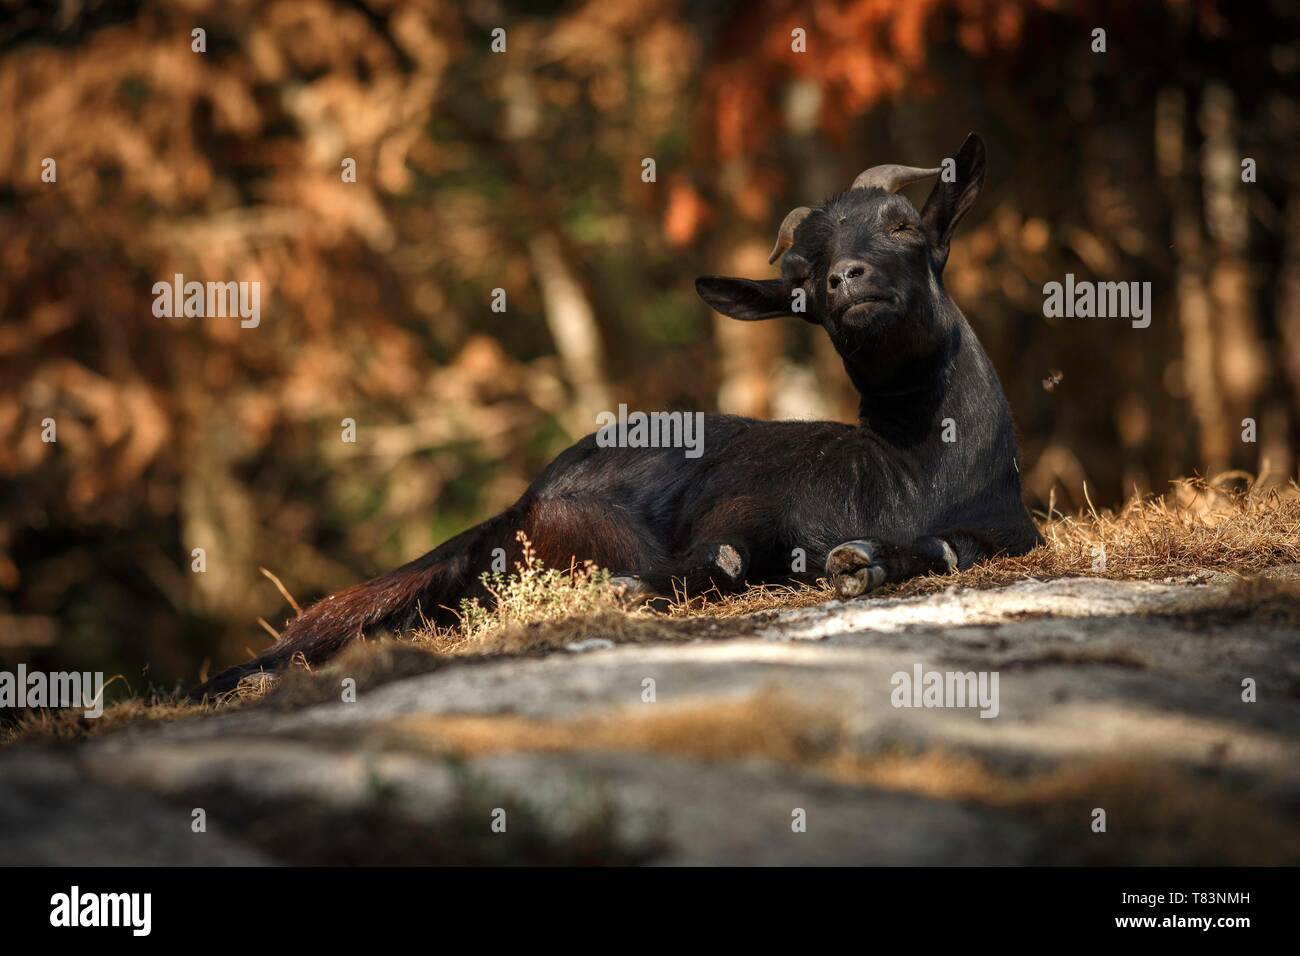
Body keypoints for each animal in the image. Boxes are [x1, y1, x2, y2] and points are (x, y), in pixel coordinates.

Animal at [191, 132, 1041, 698]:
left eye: (904, 224)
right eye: (802, 279)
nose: (846, 279)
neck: (905, 468)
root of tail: (521, 498)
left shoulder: (1009, 529)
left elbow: (952, 548)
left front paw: (865, 561)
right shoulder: (745, 503)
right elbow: (722, 557)